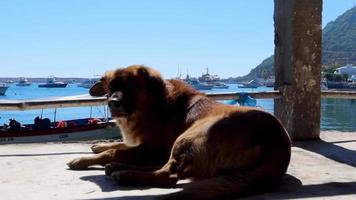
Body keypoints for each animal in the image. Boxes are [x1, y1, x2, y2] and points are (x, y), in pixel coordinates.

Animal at [67, 65, 292, 198]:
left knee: (168, 175)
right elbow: (119, 145)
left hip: (191, 135)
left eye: (130, 87)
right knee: (167, 169)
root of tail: (277, 142)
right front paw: (98, 146)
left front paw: (84, 159)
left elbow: (114, 150)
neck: (155, 104)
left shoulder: (153, 147)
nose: (112, 102)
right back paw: (119, 167)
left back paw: (124, 173)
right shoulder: (143, 144)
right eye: (111, 87)